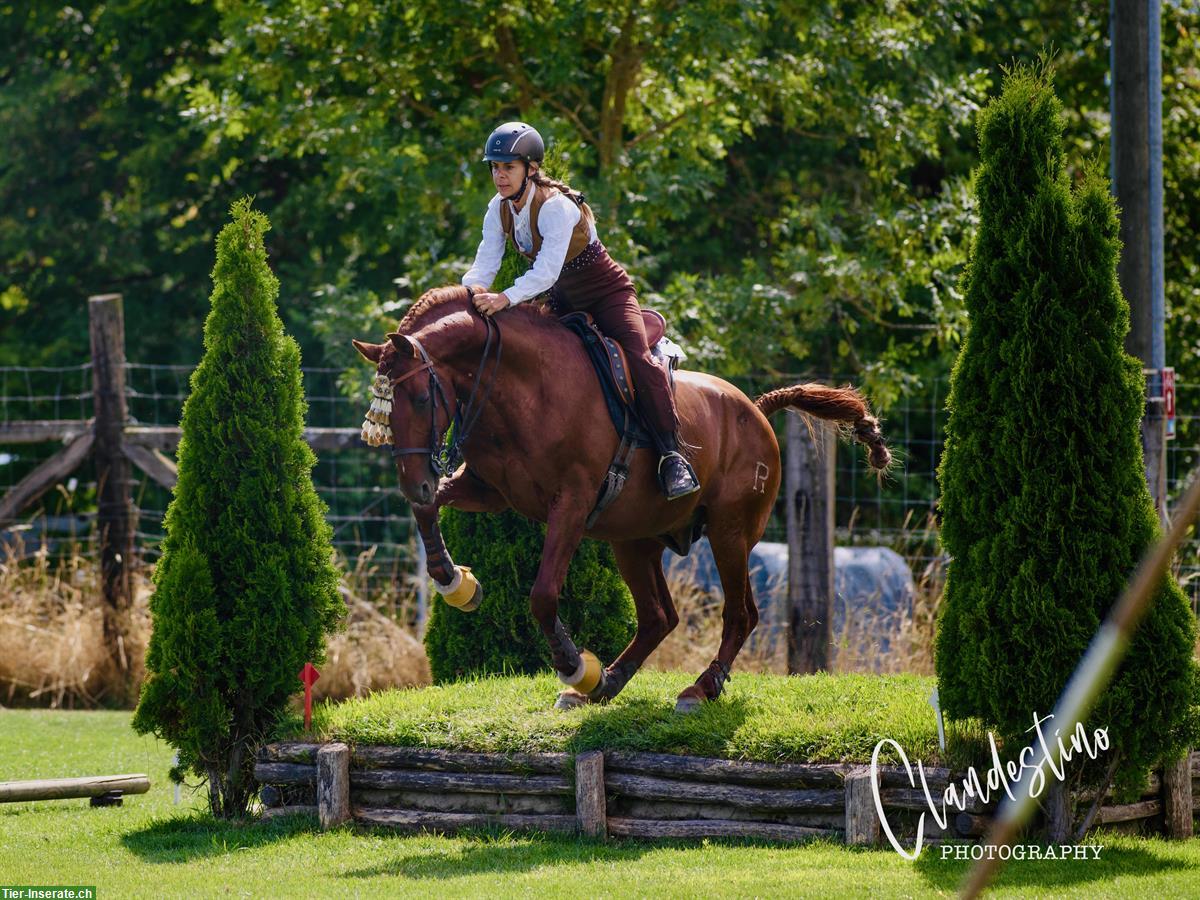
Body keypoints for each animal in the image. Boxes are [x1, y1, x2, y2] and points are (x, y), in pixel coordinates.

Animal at [350, 285, 888, 715]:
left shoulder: (571, 502)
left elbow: (542, 594)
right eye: (383, 412)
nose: (413, 481)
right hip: (634, 538)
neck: (519, 383)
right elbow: (428, 510)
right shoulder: (487, 489)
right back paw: (605, 684)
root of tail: (754, 411)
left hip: (729, 533)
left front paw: (572, 664)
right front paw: (455, 582)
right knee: (658, 617)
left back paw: (698, 689)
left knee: (740, 614)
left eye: (421, 399)